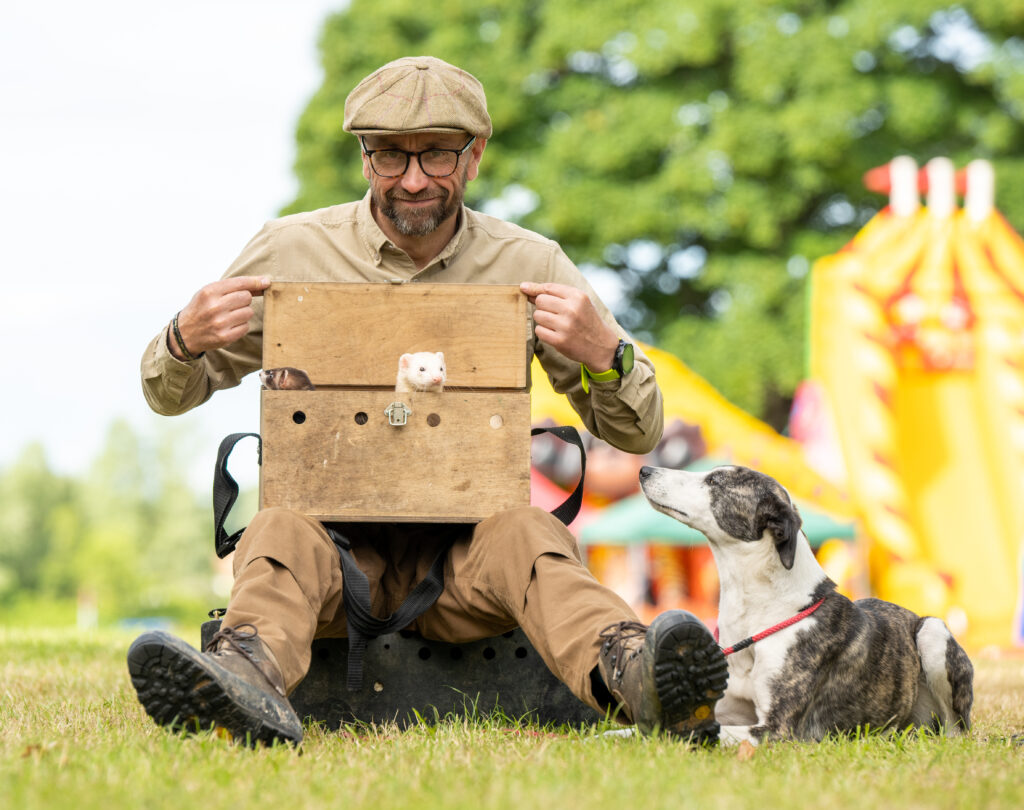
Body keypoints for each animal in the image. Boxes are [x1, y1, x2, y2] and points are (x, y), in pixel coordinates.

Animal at [638, 462, 974, 749]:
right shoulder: (727, 710)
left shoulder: (776, 729)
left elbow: (678, 734)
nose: (644, 469)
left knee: (955, 730)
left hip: (933, 632)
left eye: (715, 481)